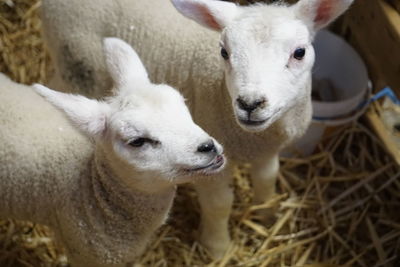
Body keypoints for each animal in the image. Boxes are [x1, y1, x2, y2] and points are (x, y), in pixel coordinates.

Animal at [39, 0, 354, 258]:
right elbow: (220, 204)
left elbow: (267, 179)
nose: (250, 104)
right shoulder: (211, 166)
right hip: (75, 63)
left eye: (299, 52)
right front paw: (217, 248)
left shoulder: (267, 149)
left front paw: (267, 215)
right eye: (224, 52)